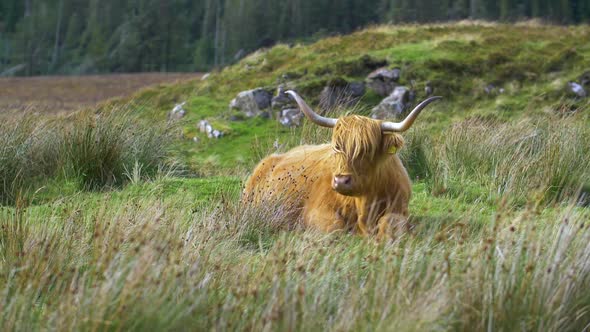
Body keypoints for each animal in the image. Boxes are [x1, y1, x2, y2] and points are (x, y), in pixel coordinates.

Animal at [243, 90, 442, 236]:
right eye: (337, 148)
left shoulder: (401, 209)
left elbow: (390, 224)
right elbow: (335, 227)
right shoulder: (315, 211)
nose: (341, 181)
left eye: (367, 150)